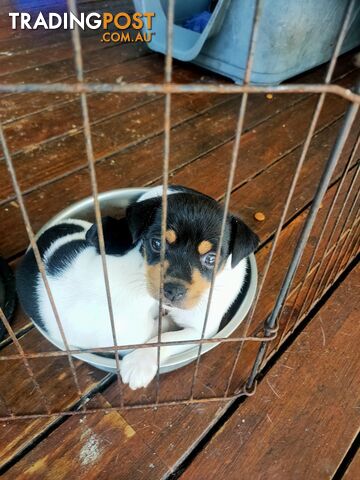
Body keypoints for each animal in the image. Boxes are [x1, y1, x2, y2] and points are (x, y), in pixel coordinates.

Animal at [16, 185, 258, 390]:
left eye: (211, 259)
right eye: (156, 244)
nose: (172, 291)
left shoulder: (201, 330)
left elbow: (168, 339)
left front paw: (140, 362)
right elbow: (161, 334)